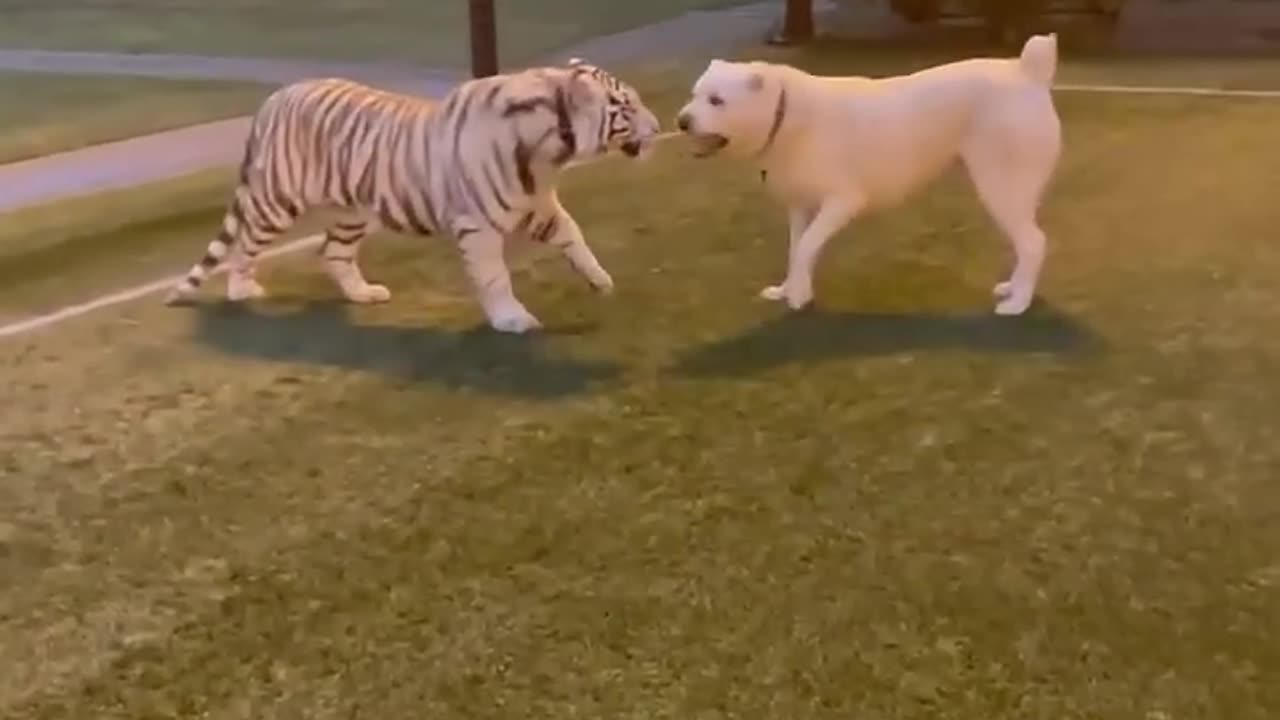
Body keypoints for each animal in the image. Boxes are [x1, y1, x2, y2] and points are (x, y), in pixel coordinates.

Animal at [680, 33, 1059, 313]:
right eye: (695, 95)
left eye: (716, 101)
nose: (682, 121)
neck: (784, 114)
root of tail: (1027, 71)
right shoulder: (800, 205)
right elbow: (796, 248)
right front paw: (789, 288)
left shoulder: (843, 201)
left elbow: (806, 247)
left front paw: (799, 296)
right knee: (1027, 241)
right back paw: (1013, 288)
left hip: (1001, 187)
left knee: (1033, 242)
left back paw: (1019, 303)